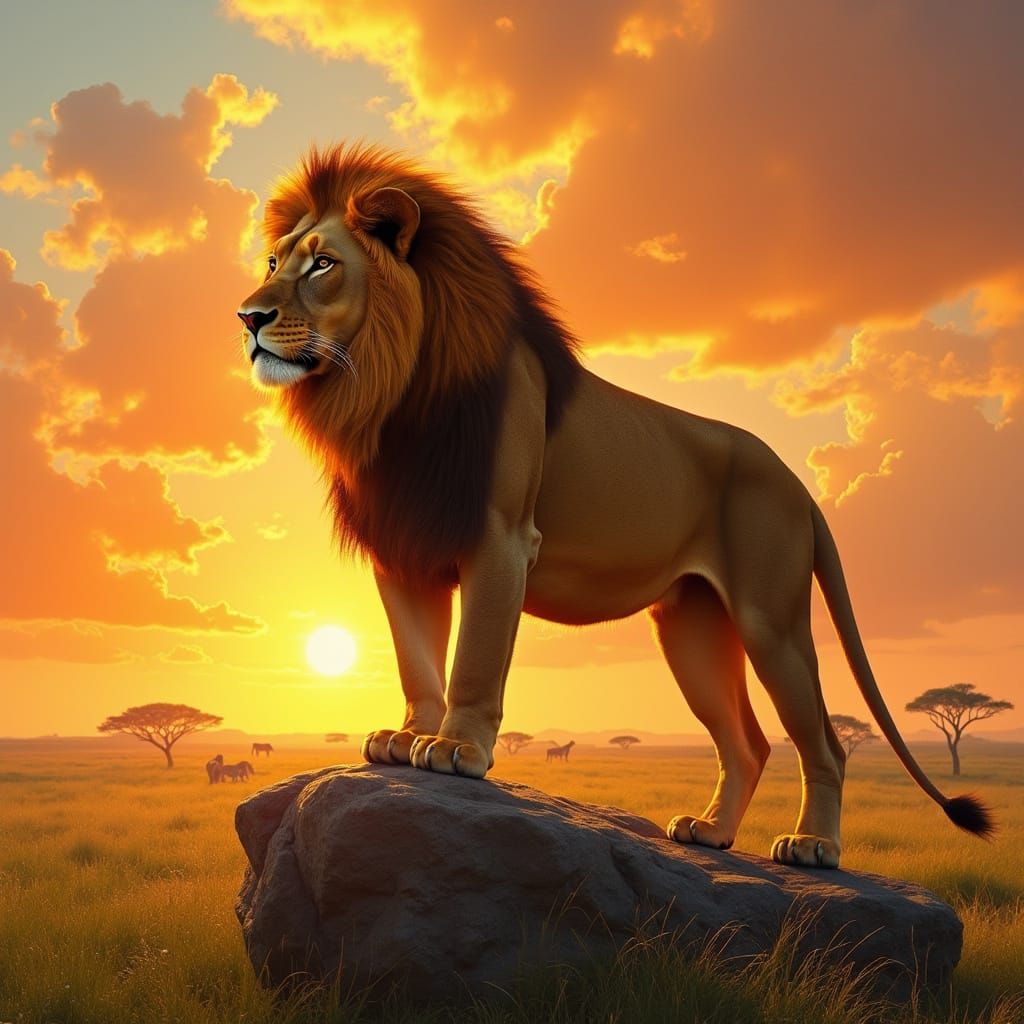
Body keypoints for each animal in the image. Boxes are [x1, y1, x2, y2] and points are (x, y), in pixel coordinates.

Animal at [237, 143, 992, 868]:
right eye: (273, 262)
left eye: (323, 265)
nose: (247, 317)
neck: (386, 393)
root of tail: (796, 481)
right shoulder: (404, 549)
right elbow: (416, 659)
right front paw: (407, 737)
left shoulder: (501, 538)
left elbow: (474, 654)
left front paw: (456, 752)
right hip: (691, 626)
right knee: (746, 742)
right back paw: (711, 832)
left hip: (769, 619)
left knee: (824, 744)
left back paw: (816, 849)